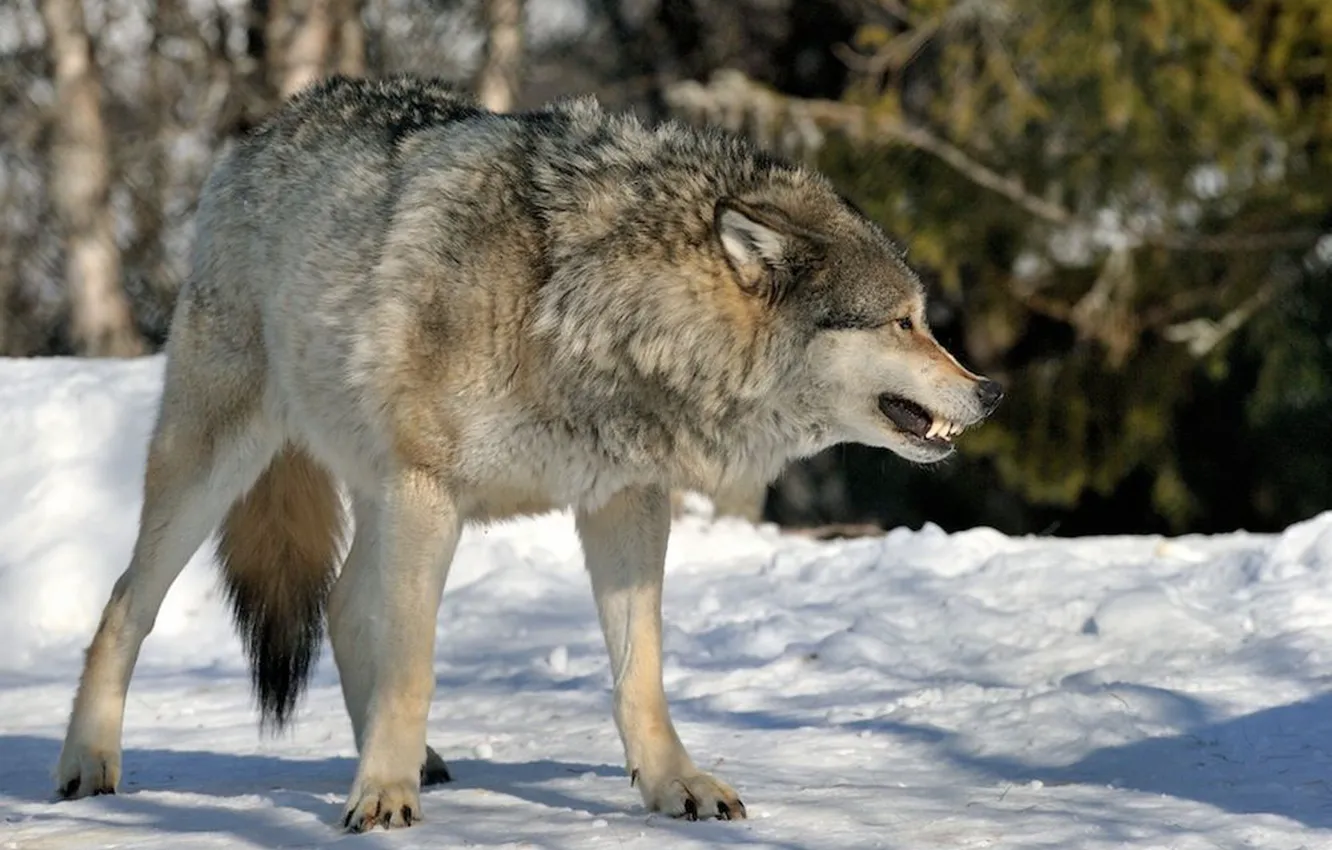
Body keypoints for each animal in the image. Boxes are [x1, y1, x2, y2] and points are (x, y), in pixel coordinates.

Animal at [57, 74, 1001, 831]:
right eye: (902, 322)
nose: (991, 392)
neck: (590, 304)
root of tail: (265, 128)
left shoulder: (624, 500)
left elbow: (640, 673)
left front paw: (674, 785)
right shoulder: (431, 490)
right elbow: (415, 667)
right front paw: (383, 798)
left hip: (370, 496)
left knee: (341, 606)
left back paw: (415, 760)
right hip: (219, 466)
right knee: (124, 606)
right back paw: (88, 765)